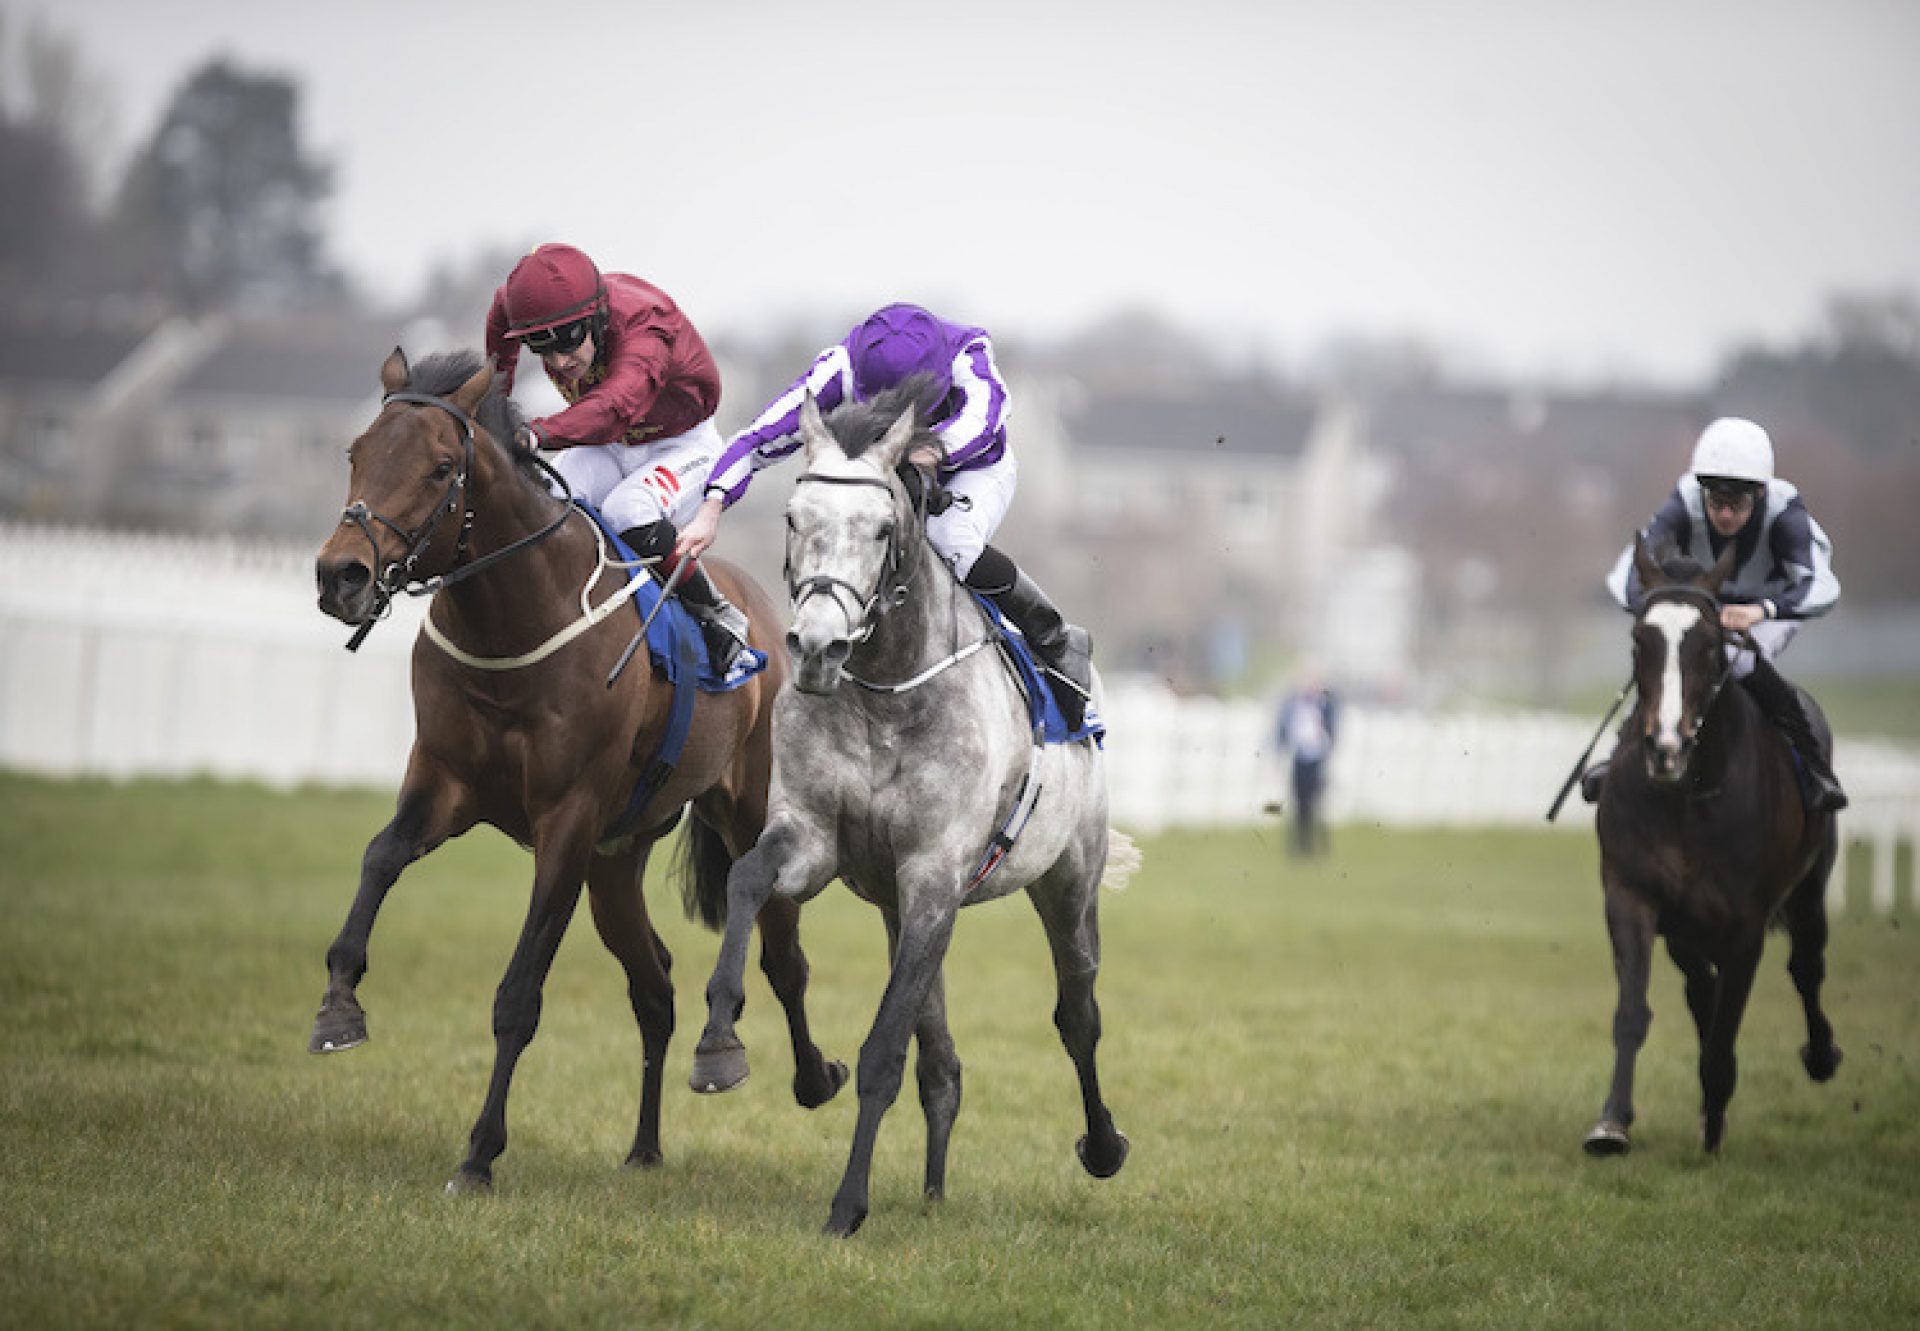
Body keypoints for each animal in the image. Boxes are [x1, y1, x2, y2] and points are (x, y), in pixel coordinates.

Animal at [312, 347, 840, 1190]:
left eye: (439, 467)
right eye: (357, 453)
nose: (342, 575)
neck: (511, 624)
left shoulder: (567, 819)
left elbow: (519, 996)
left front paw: (479, 1153)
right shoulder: (444, 781)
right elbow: (379, 857)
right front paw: (338, 1005)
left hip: (745, 811)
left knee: (783, 957)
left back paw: (797, 1072)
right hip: (615, 863)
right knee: (653, 985)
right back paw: (645, 1145)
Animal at [691, 384, 1136, 1236]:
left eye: (881, 528)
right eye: (793, 516)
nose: (817, 647)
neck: (883, 685)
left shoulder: (935, 875)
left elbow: (883, 1052)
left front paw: (846, 1204)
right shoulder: (818, 842)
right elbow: (747, 879)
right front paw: (718, 1042)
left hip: (1067, 879)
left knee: (1079, 1015)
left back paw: (1102, 1145)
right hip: (904, 911)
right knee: (944, 1058)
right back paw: (932, 1189)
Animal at [1582, 533, 1835, 1160]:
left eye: (1711, 642)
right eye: (1640, 640)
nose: (1665, 747)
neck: (1688, 795)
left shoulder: (1746, 923)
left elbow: (1726, 1029)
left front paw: (1714, 1128)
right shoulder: (1632, 894)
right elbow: (1634, 1011)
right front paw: (1612, 1123)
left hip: (1809, 890)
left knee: (1806, 965)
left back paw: (1820, 1056)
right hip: (1686, 928)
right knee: (1702, 989)